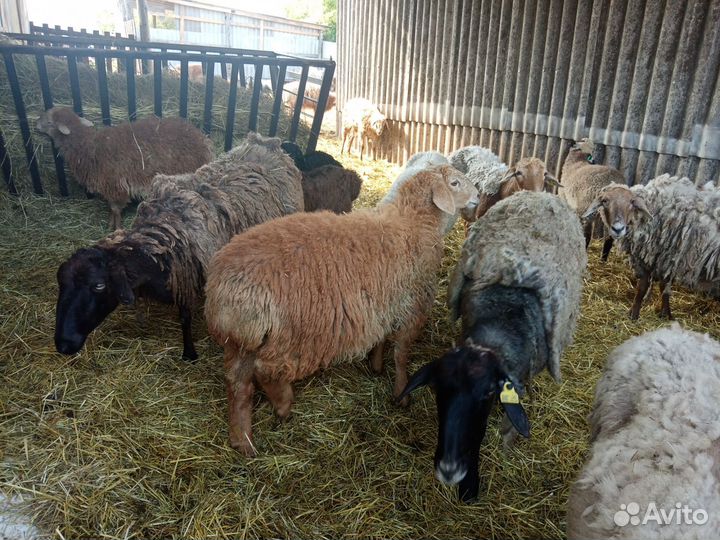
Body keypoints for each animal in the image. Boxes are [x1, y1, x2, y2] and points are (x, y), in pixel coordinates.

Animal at [36, 107, 213, 230]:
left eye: (50, 121)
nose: (36, 122)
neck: (87, 146)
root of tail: (203, 139)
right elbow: (111, 208)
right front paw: (109, 224)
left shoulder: (115, 186)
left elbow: (116, 209)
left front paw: (117, 228)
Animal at [54, 133, 303, 361]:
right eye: (61, 283)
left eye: (99, 286)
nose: (63, 345)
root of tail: (267, 142)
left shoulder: (187, 278)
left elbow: (185, 317)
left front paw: (189, 353)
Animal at [204, 164, 479, 456]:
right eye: (455, 182)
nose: (478, 196)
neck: (413, 223)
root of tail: (222, 291)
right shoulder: (413, 309)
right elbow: (401, 355)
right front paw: (401, 392)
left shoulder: (384, 305)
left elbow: (382, 339)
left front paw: (376, 365)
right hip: (291, 335)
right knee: (266, 371)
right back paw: (283, 405)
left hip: (239, 342)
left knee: (239, 385)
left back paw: (242, 440)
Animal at [582, 174, 720, 320]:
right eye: (605, 201)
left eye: (632, 202)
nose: (618, 229)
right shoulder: (663, 259)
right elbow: (662, 287)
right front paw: (666, 313)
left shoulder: (661, 257)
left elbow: (644, 287)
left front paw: (634, 314)